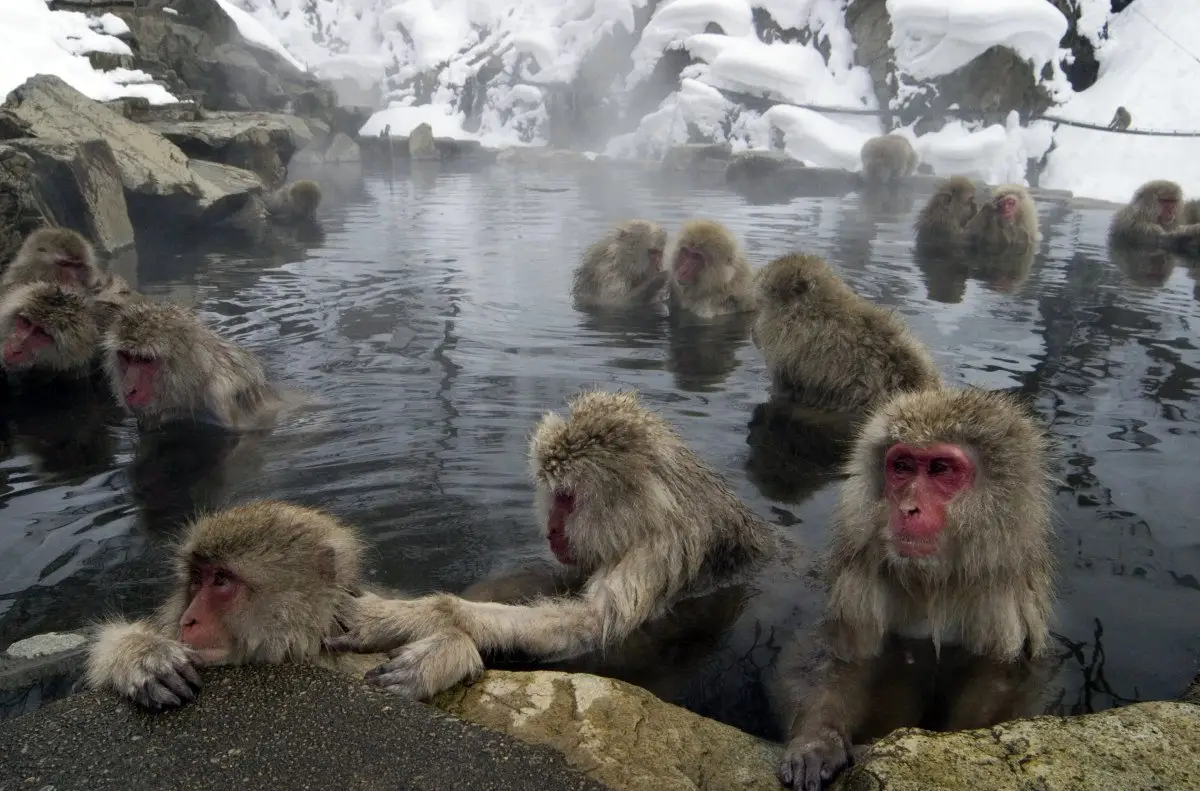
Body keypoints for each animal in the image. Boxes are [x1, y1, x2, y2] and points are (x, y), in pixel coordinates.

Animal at [324, 389, 777, 701]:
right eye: (554, 493)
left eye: (566, 497)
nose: (553, 531)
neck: (656, 513)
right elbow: (552, 581)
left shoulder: (659, 553)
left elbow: (589, 629)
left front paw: (420, 619)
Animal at [775, 388, 1057, 791]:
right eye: (903, 466)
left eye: (940, 469)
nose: (908, 508)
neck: (934, 581)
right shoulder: (862, 576)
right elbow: (846, 658)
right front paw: (817, 739)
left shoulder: (1002, 595)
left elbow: (997, 673)